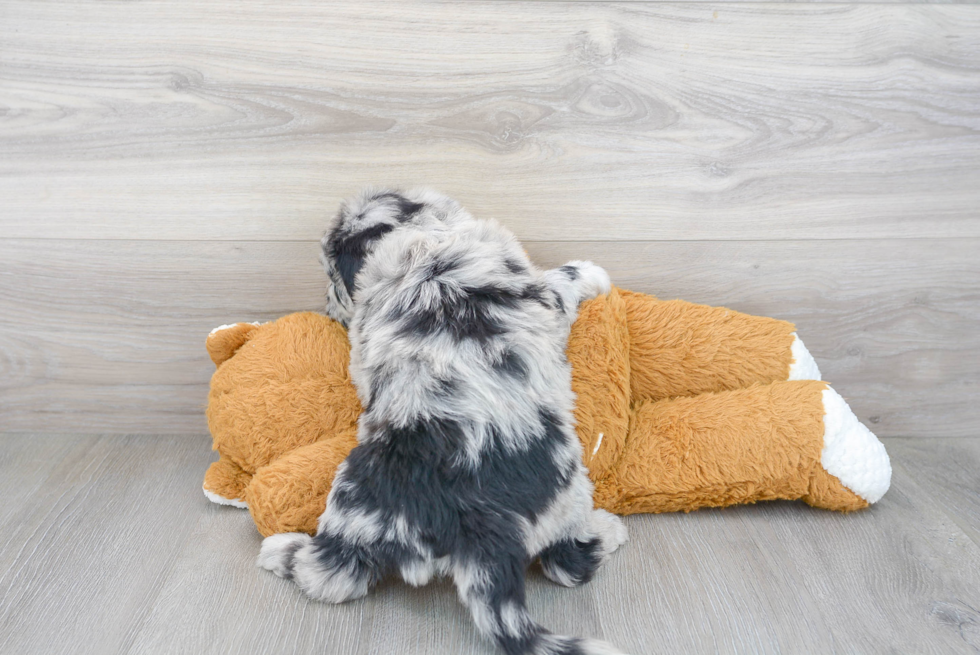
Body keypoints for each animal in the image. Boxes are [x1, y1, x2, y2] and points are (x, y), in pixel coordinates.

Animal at [258, 188, 628, 655]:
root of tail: (475, 528)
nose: (328, 308)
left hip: (357, 505)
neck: (418, 238)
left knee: (333, 575)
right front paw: (594, 272)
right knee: (569, 565)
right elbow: (564, 278)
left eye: (331, 278)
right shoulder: (541, 289)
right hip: (566, 495)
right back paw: (609, 530)